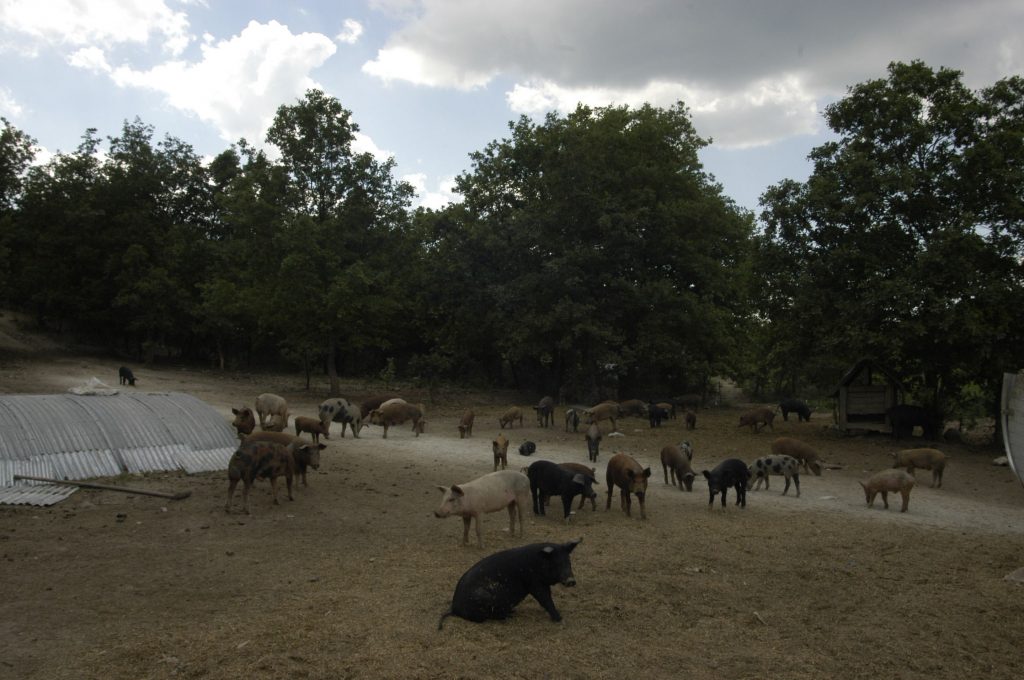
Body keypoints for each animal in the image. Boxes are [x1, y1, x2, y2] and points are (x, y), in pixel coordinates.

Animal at [438, 540, 585, 630]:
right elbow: (545, 599)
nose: (571, 580)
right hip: (484, 600)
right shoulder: (534, 583)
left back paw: (512, 612)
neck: (538, 563)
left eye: (568, 561)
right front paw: (560, 619)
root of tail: (454, 608)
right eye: (556, 563)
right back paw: (510, 615)